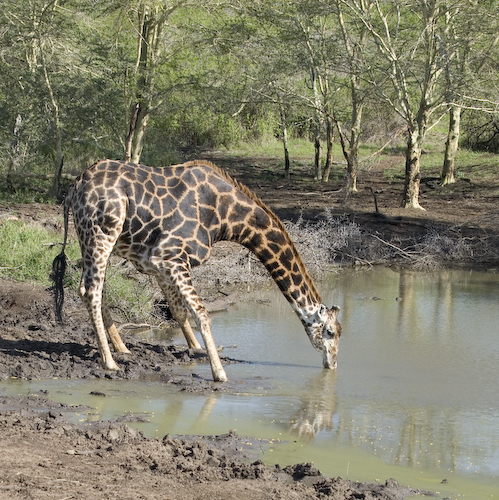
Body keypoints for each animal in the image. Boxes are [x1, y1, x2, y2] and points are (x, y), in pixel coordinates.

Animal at [52, 160, 342, 382]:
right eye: (330, 332)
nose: (333, 364)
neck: (227, 217)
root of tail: (74, 187)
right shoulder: (169, 255)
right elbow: (201, 312)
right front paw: (219, 373)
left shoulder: (158, 263)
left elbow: (179, 310)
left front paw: (197, 350)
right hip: (102, 232)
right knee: (90, 290)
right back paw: (109, 362)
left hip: (91, 239)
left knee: (95, 288)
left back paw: (121, 349)